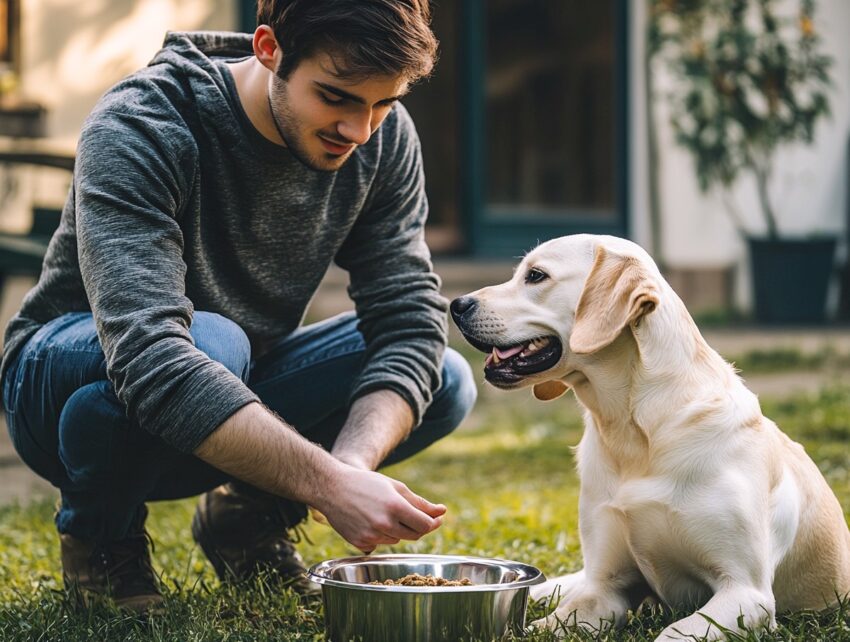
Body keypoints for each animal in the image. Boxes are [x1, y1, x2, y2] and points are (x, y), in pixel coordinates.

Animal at [450, 235, 848, 640]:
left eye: (535, 275)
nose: (456, 305)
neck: (635, 431)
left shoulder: (745, 591)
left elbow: (673, 632)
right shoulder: (603, 587)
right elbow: (548, 623)